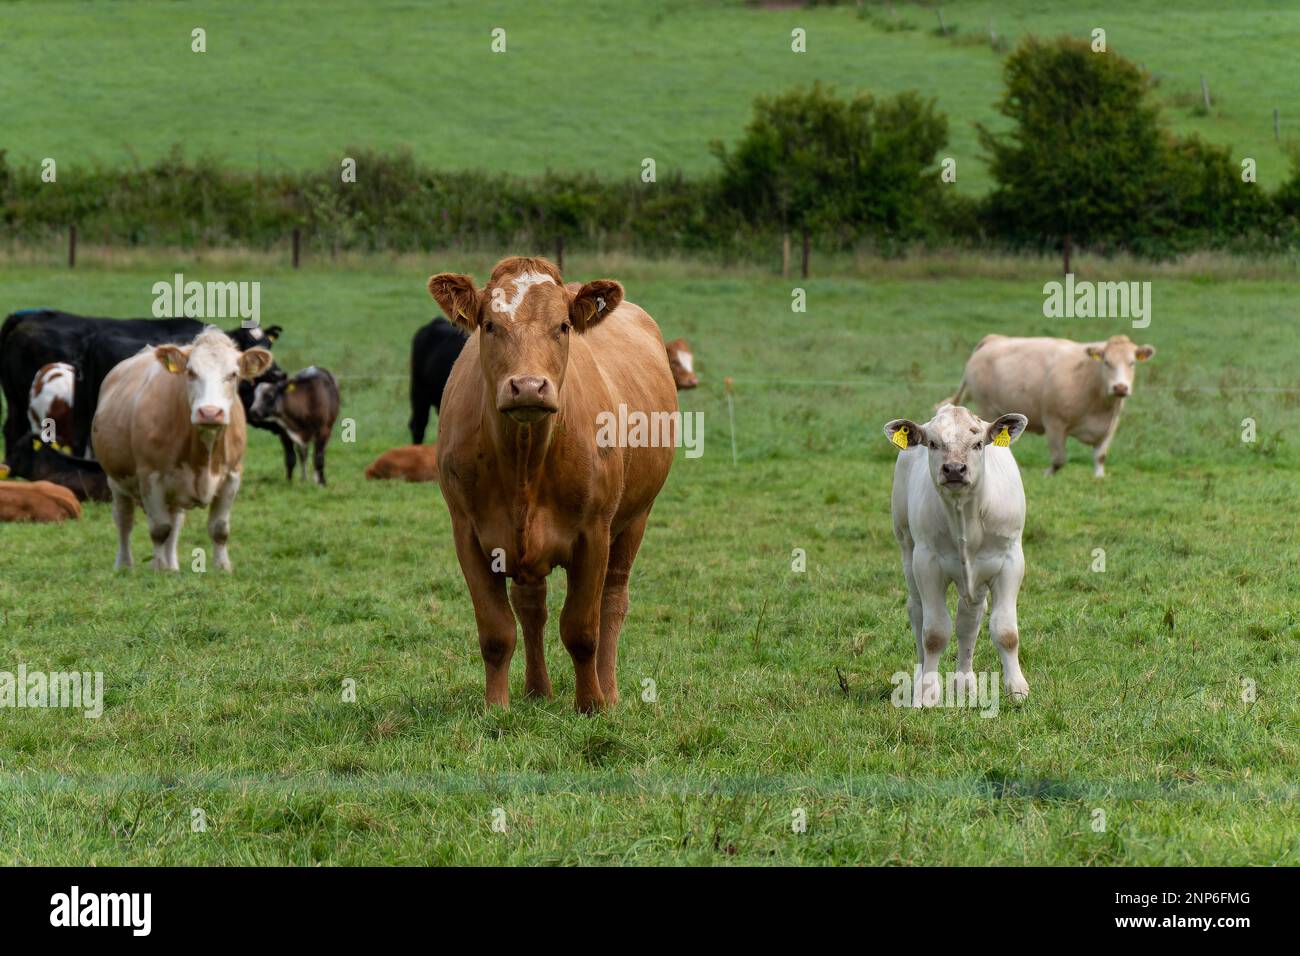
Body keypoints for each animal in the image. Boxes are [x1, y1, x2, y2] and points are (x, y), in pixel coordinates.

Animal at [91, 327, 273, 571]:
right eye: (191, 372)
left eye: (233, 374)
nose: (210, 412)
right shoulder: (150, 477)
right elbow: (159, 529)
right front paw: (158, 568)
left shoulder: (232, 476)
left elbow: (219, 529)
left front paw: (222, 567)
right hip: (116, 480)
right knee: (124, 520)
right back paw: (125, 565)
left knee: (175, 522)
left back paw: (173, 566)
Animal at [430, 256, 678, 713]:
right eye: (489, 324)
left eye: (562, 326)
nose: (528, 386)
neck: (524, 459)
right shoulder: (467, 534)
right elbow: (496, 632)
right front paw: (496, 707)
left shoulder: (594, 532)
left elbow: (582, 629)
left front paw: (591, 705)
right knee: (531, 607)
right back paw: (536, 690)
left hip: (635, 518)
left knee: (613, 601)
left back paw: (609, 690)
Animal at [884, 404, 1031, 706]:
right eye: (932, 443)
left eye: (978, 444)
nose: (953, 469)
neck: (965, 515)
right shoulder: (927, 563)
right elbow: (934, 634)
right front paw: (926, 693)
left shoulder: (1010, 561)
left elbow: (1006, 632)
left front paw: (1017, 689)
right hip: (906, 547)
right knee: (917, 611)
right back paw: (921, 677)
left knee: (969, 620)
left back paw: (964, 683)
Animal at [948, 334, 1156, 478]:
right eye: (1106, 362)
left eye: (1132, 363)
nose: (1120, 387)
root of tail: (994, 339)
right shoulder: (1055, 423)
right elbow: (1058, 459)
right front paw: (1047, 476)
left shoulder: (1110, 425)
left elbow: (1100, 456)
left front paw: (1099, 477)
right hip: (987, 408)